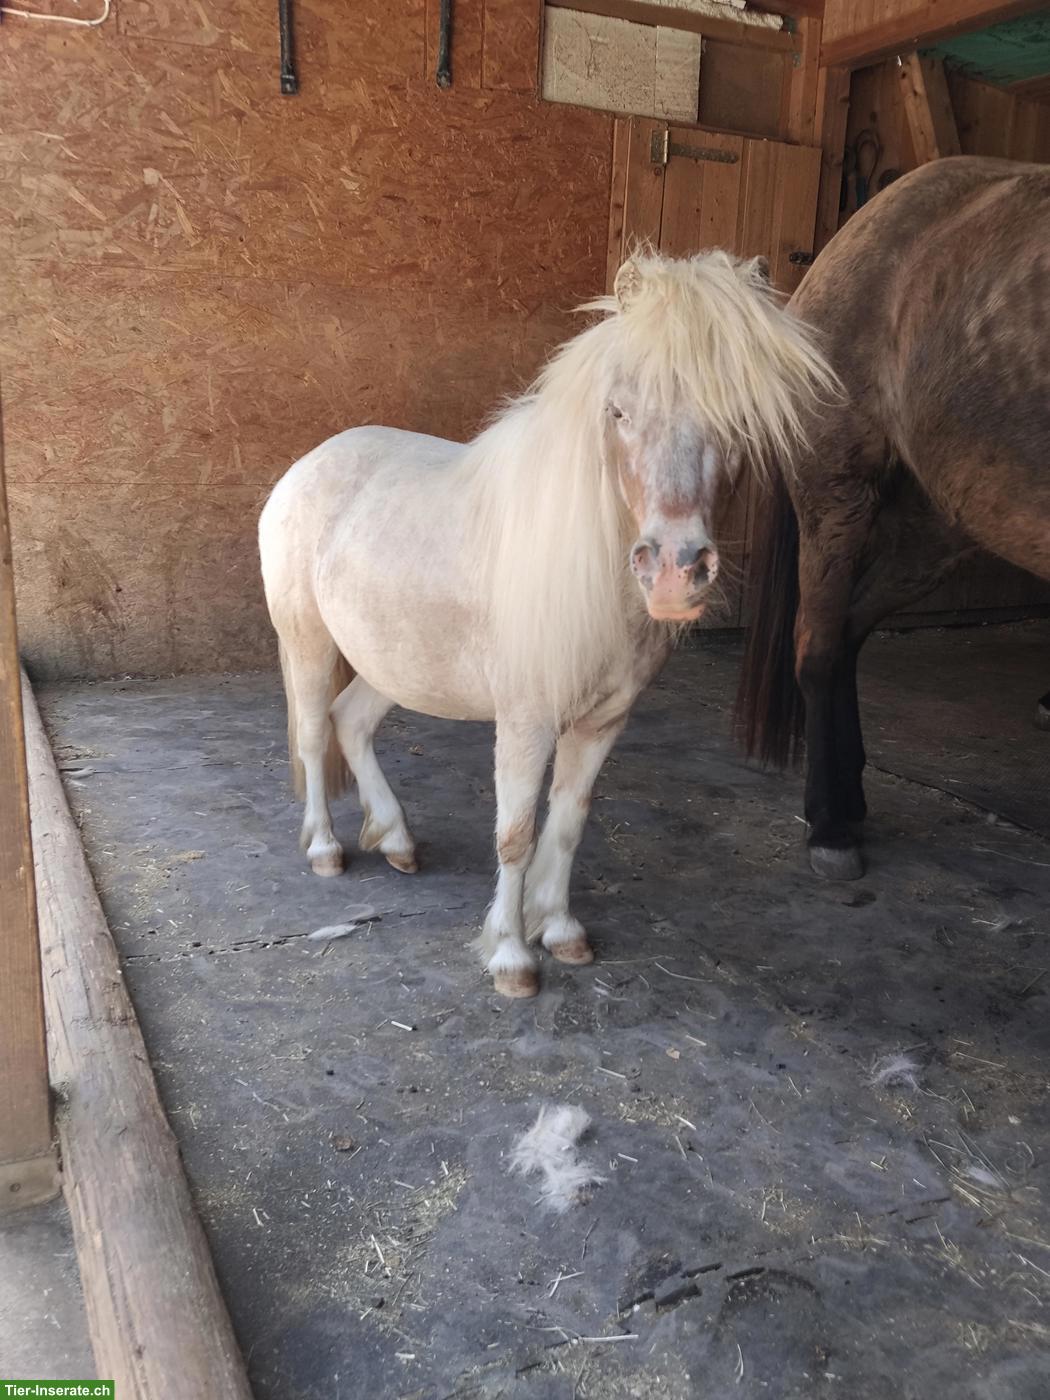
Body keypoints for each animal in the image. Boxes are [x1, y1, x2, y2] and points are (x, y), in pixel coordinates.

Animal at [260, 250, 834, 996]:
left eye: (736, 414)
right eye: (619, 410)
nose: (674, 570)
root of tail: (307, 466)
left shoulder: (603, 721)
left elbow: (566, 825)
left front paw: (559, 932)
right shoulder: (526, 721)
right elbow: (516, 834)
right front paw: (510, 957)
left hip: (394, 662)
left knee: (349, 723)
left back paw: (397, 841)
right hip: (308, 641)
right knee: (310, 733)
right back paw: (327, 850)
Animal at [736, 157, 1050, 881]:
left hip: (936, 528)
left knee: (850, 631)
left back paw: (847, 797)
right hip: (837, 496)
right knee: (819, 646)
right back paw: (829, 825)